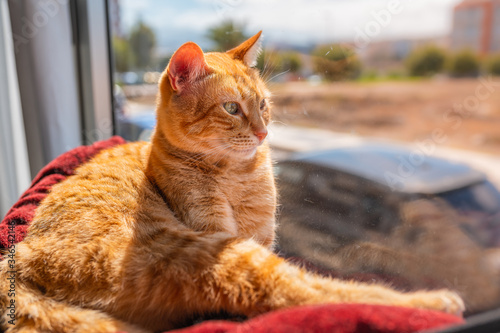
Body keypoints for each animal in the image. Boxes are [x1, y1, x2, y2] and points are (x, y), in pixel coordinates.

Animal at [0, 31, 464, 332]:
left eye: (264, 105)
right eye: (231, 108)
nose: (263, 132)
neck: (238, 176)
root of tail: (23, 256)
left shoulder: (263, 237)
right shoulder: (222, 233)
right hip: (212, 255)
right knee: (315, 293)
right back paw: (433, 302)